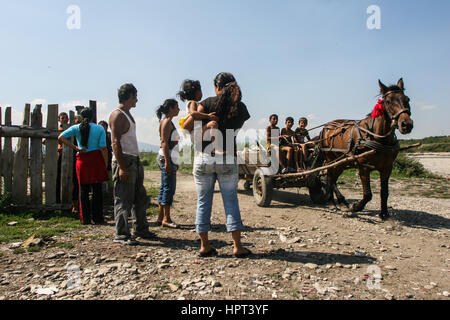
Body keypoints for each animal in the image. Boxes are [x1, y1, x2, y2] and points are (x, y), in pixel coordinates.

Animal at [318, 79, 414, 220]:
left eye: (407, 99)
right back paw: (336, 200)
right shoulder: (363, 167)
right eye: (388, 101)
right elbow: (368, 194)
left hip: (342, 162)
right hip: (331, 159)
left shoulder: (387, 167)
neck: (377, 137)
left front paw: (384, 213)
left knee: (333, 178)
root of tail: (326, 127)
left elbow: (384, 192)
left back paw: (338, 201)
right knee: (330, 177)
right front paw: (356, 207)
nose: (406, 124)